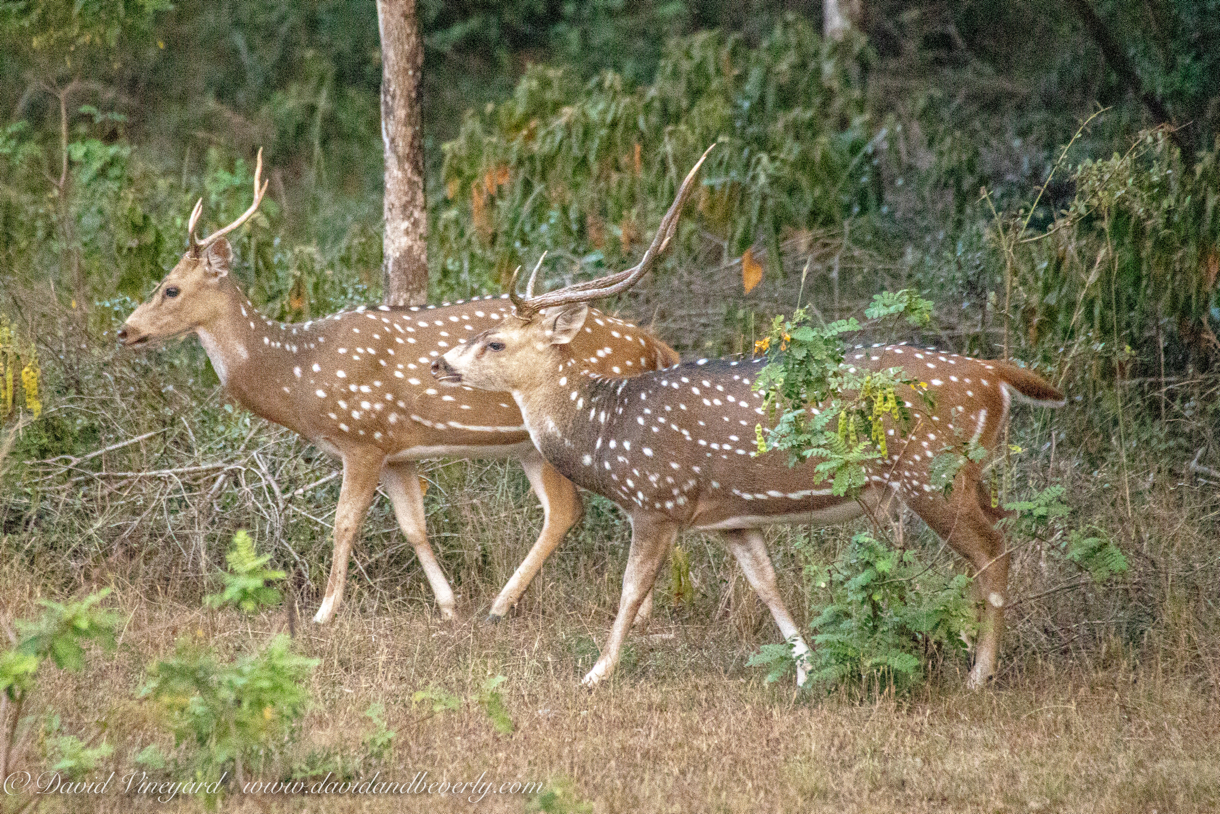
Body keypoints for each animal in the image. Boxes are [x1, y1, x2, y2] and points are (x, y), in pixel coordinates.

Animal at [117, 151, 683, 624]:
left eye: (170, 288)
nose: (124, 330)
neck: (297, 373)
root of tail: (656, 346)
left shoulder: (362, 437)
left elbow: (344, 523)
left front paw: (325, 613)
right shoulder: (397, 451)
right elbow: (415, 526)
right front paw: (448, 606)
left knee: (585, 509)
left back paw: (518, 606)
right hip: (532, 445)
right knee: (573, 511)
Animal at [434, 149, 1063, 693]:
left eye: (494, 342)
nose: (440, 364)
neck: (605, 434)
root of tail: (994, 375)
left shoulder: (657, 500)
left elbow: (631, 589)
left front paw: (596, 672)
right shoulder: (732, 516)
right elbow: (768, 585)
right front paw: (807, 668)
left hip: (932, 473)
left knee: (995, 553)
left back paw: (980, 674)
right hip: (967, 472)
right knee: (998, 536)